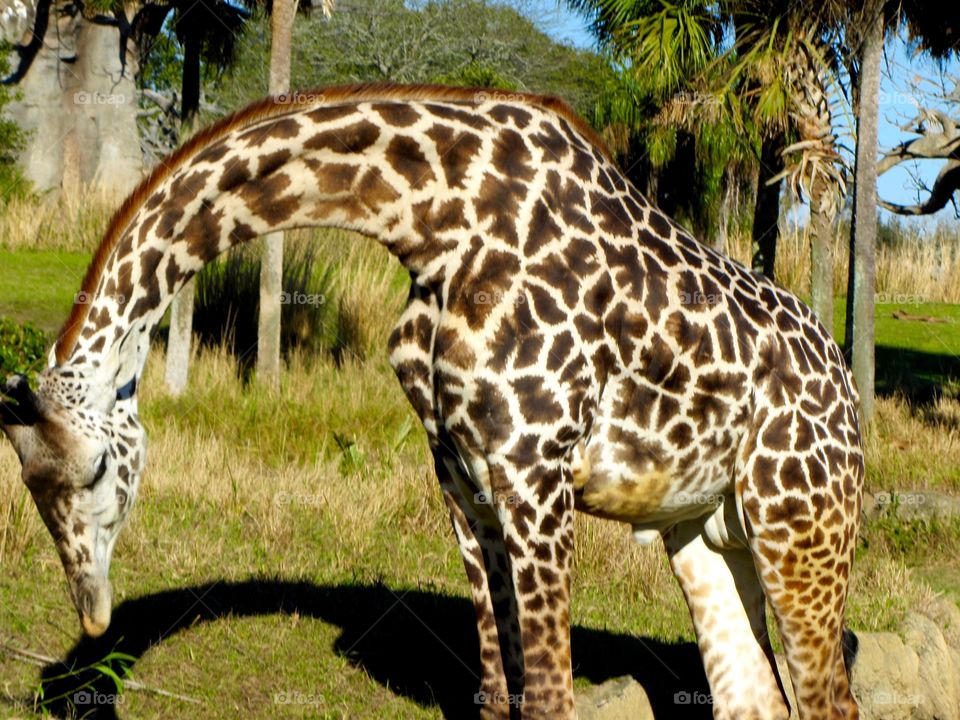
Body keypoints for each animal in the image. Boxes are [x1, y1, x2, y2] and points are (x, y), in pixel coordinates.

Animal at [0, 83, 864, 716]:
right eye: (31, 488)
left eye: (96, 470)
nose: (93, 613)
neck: (432, 223)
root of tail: (850, 391)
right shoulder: (461, 471)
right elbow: (496, 691)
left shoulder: (537, 472)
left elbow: (548, 697)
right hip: (705, 530)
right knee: (755, 698)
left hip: (801, 529)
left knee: (830, 698)